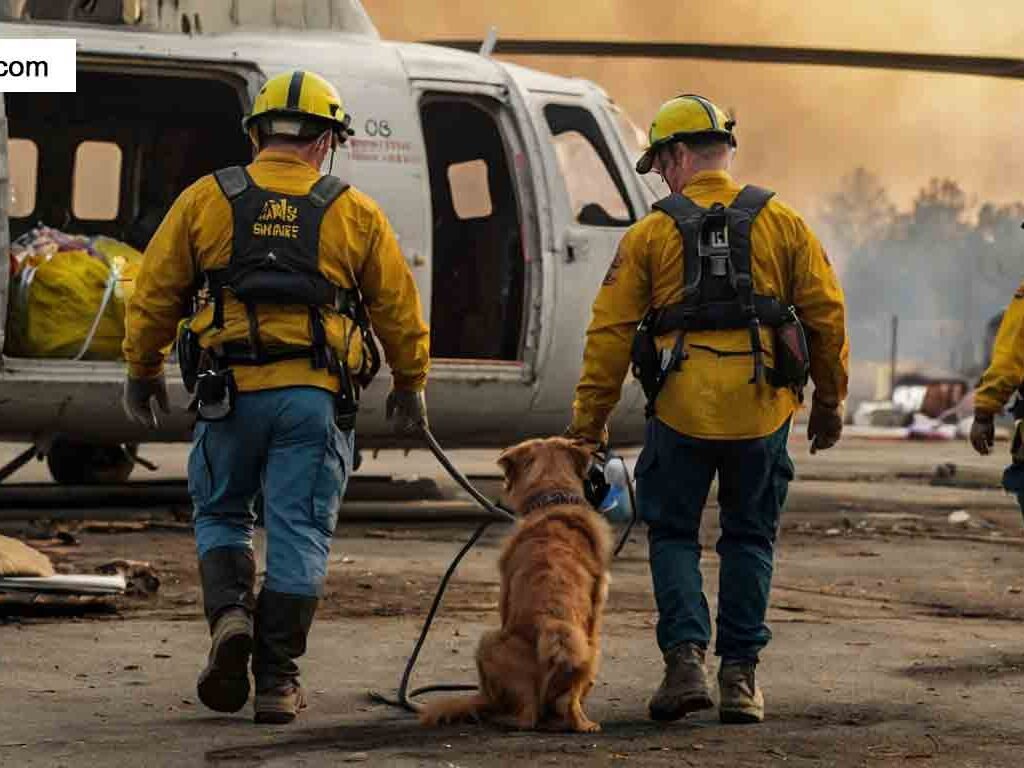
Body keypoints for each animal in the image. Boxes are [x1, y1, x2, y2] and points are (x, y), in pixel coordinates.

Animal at [419, 438, 610, 733]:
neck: (553, 499)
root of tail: (552, 625)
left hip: (487, 642)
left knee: (525, 716)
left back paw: (495, 713)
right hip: (590, 652)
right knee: (567, 703)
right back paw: (582, 722)